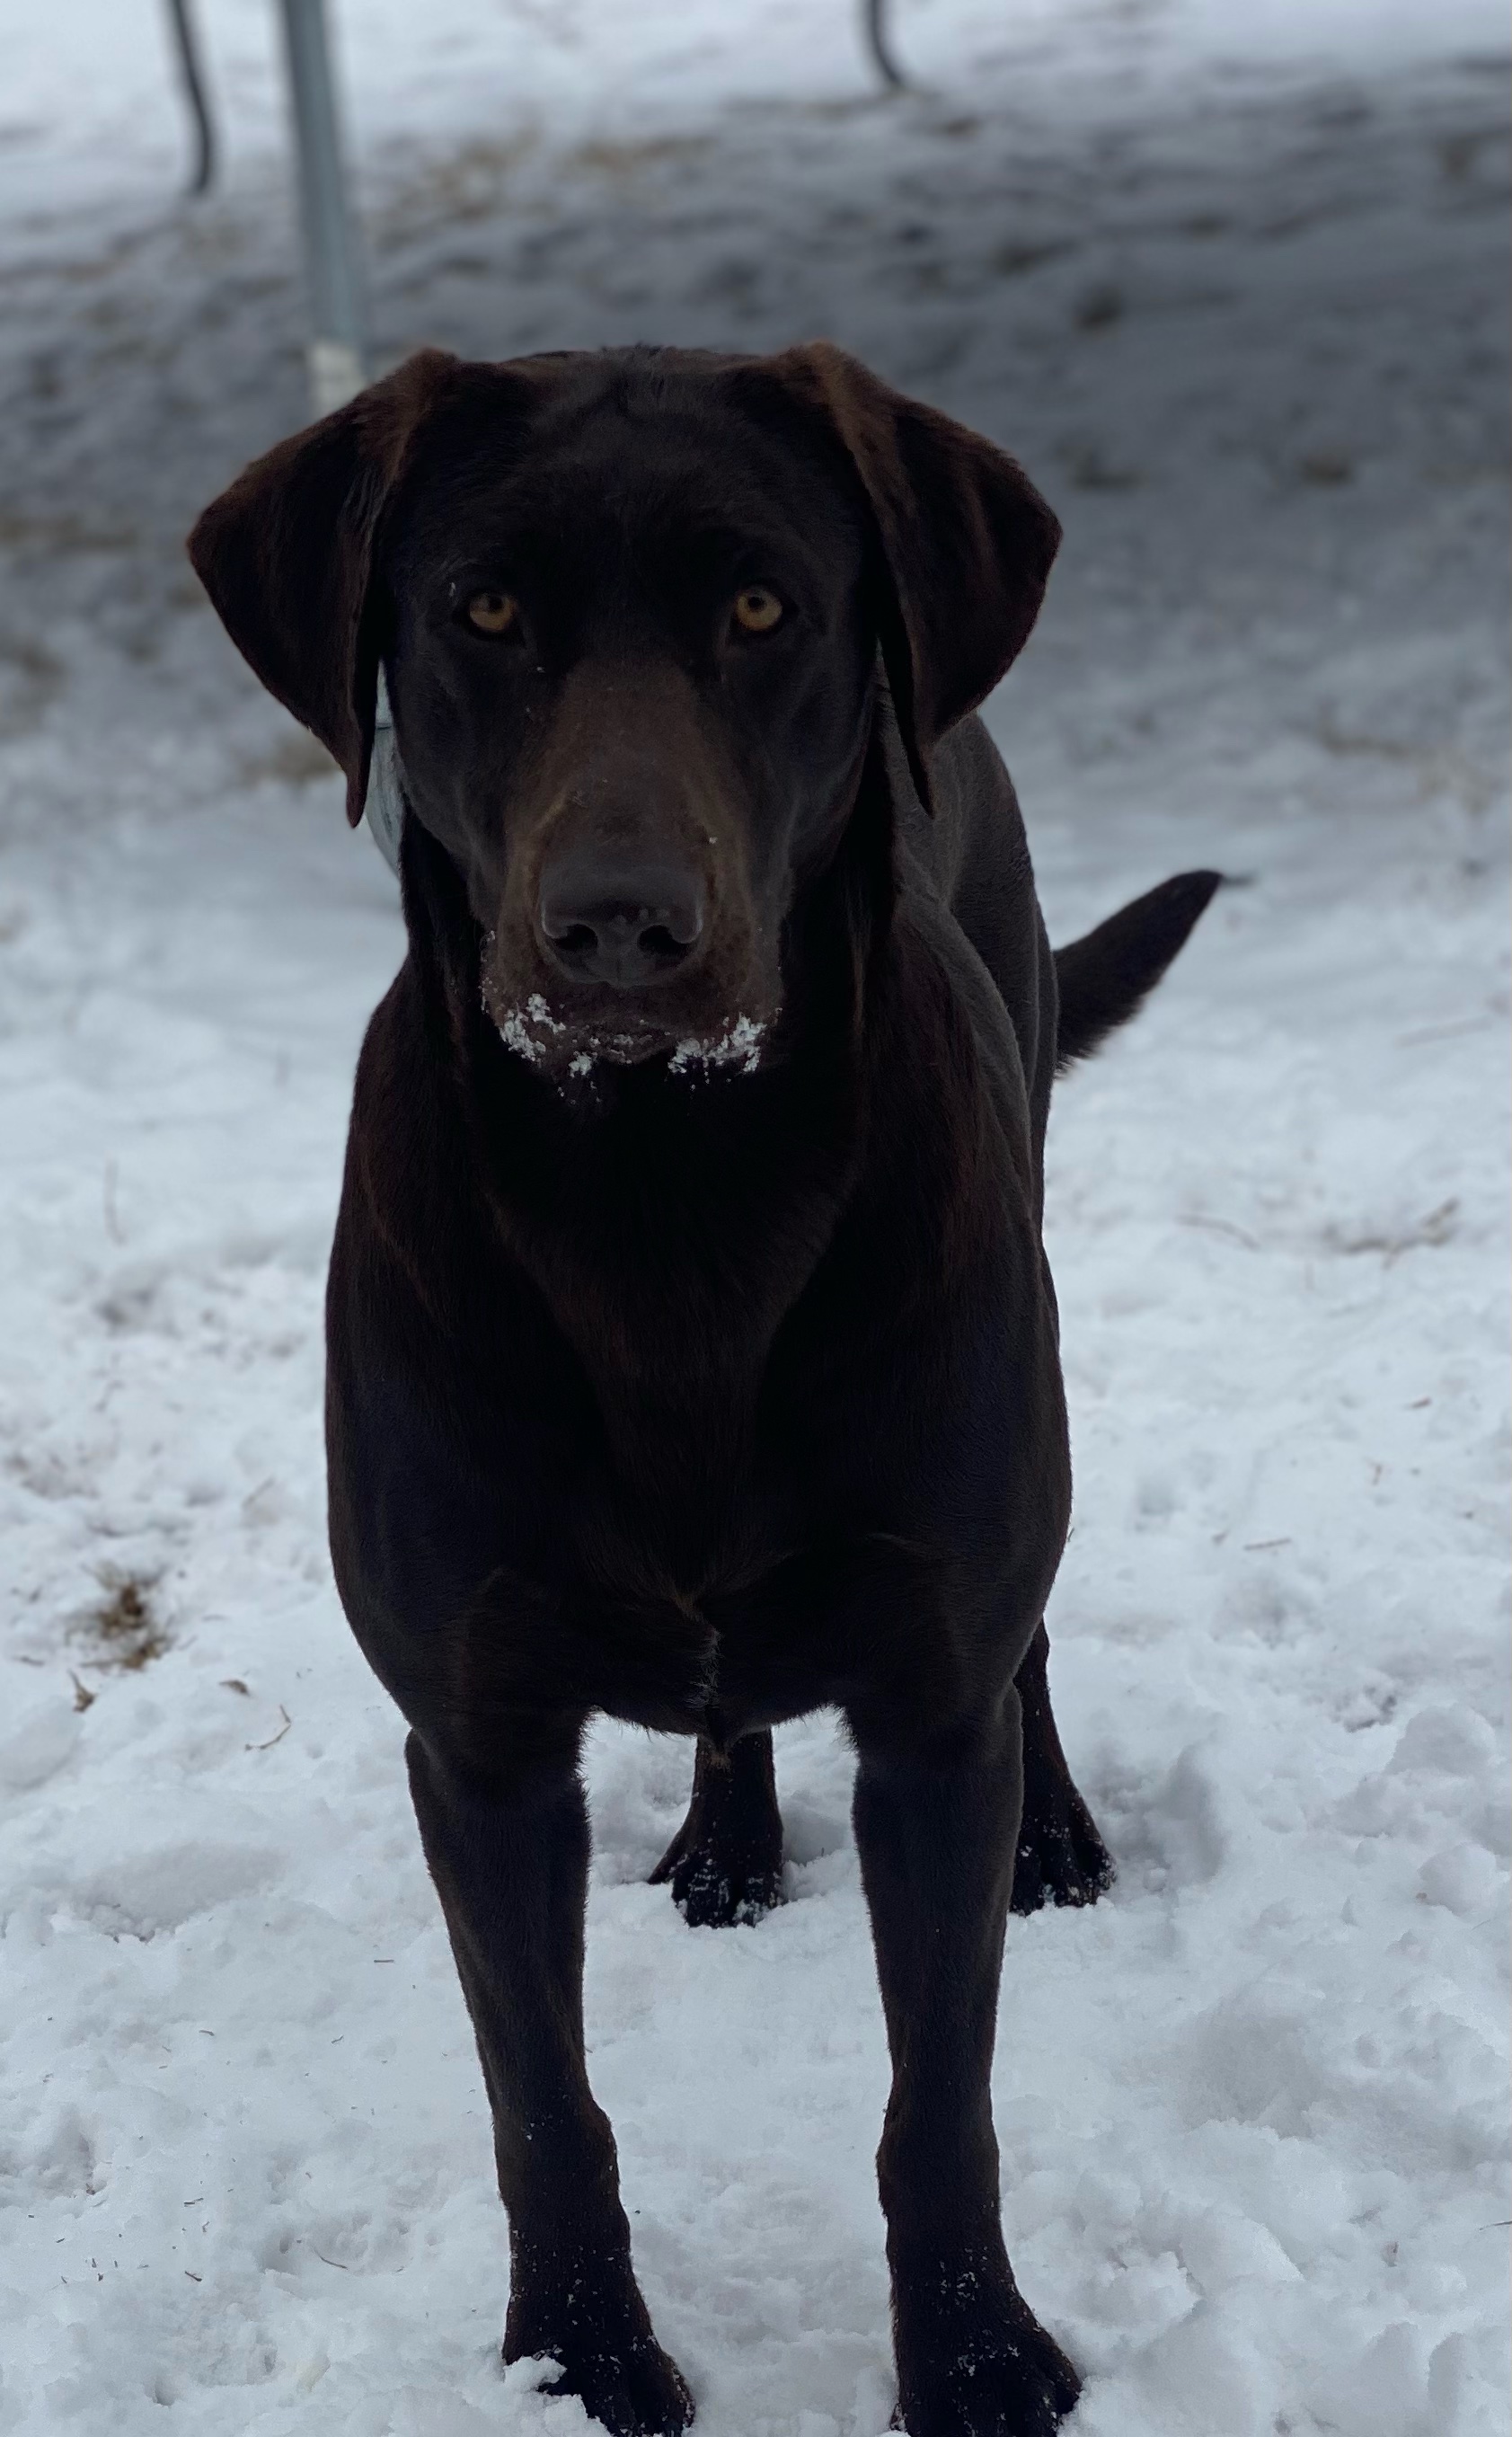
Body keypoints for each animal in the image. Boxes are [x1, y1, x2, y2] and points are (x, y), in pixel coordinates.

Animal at [189, 348, 1212, 2437]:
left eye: (759, 608)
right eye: (482, 609)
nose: (617, 930)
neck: (669, 1224)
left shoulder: (926, 1710)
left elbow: (938, 2102)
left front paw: (973, 2361)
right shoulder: (477, 1744)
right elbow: (542, 2104)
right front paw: (579, 2361)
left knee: (1027, 1645)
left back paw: (1058, 1836)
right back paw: (730, 1844)